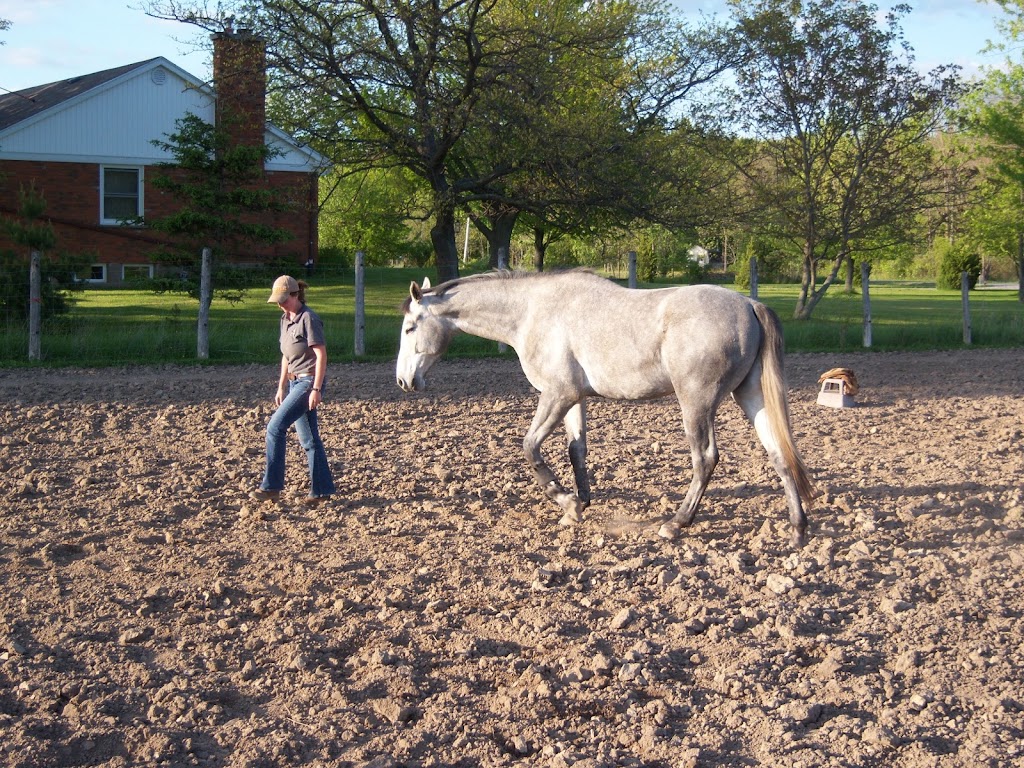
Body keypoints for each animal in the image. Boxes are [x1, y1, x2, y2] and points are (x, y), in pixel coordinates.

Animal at [393, 270, 815, 548]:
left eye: (411, 327)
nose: (404, 381)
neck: (531, 311)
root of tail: (749, 303)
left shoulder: (557, 394)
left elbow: (530, 448)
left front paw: (565, 500)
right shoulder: (574, 398)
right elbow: (576, 450)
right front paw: (578, 505)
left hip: (696, 401)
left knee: (706, 459)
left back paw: (675, 523)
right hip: (750, 396)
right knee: (778, 454)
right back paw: (797, 531)